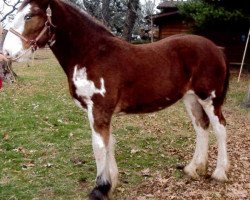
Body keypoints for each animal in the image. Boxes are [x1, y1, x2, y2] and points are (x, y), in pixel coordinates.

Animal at [2, 0, 229, 199]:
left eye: (29, 15)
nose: (6, 53)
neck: (92, 55)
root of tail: (217, 49)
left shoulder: (99, 109)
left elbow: (99, 146)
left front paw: (100, 189)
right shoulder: (99, 112)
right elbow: (109, 142)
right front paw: (111, 184)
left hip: (209, 98)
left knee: (220, 128)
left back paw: (219, 173)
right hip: (190, 98)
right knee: (201, 127)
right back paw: (193, 169)